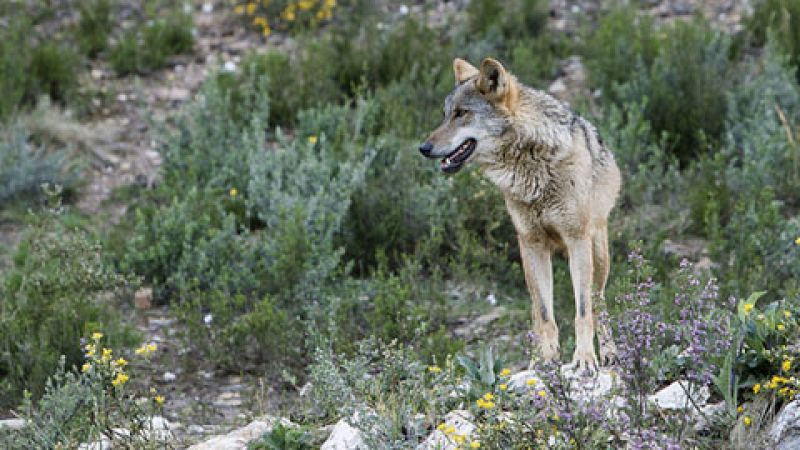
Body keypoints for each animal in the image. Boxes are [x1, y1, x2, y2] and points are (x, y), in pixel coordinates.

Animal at [422, 57, 620, 372]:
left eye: (461, 113)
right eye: (445, 115)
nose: (424, 148)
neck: (533, 164)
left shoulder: (576, 239)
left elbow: (582, 311)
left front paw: (584, 358)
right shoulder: (532, 243)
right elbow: (545, 314)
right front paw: (547, 360)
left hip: (598, 253)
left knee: (598, 302)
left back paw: (610, 354)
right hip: (530, 258)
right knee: (536, 310)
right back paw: (535, 358)